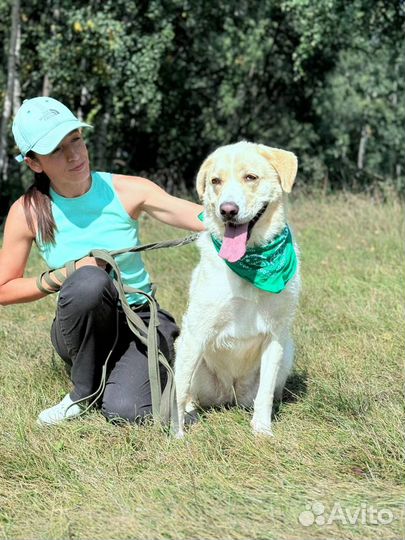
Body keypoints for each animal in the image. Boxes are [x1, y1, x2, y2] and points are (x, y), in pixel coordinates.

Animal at [174, 141, 300, 436]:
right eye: (215, 181)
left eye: (250, 177)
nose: (227, 210)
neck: (252, 264)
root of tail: (229, 396)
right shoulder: (195, 331)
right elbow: (179, 393)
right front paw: (177, 435)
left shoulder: (275, 335)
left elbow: (265, 393)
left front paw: (262, 430)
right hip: (183, 349)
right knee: (187, 393)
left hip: (287, 351)